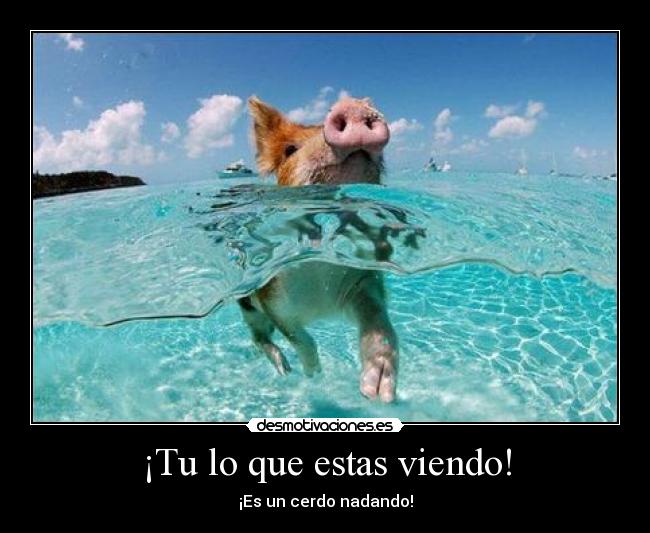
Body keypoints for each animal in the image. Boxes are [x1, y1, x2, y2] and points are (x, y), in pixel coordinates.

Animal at [238, 96, 398, 402]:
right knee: (258, 337)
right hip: (248, 307)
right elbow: (298, 337)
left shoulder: (361, 280)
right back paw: (284, 369)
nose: (352, 105)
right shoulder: (272, 299)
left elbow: (378, 323)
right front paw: (313, 373)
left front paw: (377, 392)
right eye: (289, 150)